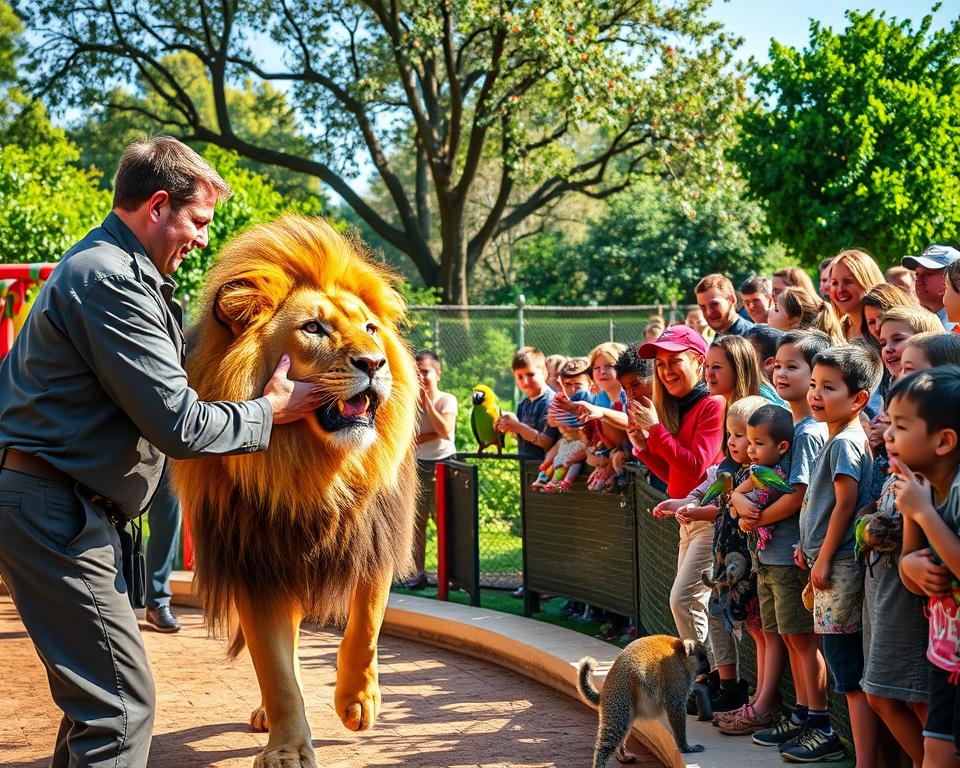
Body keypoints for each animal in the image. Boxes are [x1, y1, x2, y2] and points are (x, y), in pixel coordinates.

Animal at [172, 215, 418, 768]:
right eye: (314, 328)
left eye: (370, 329)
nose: (374, 363)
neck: (314, 473)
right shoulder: (257, 564)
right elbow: (276, 667)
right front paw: (286, 749)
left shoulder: (373, 540)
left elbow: (366, 628)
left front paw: (358, 703)